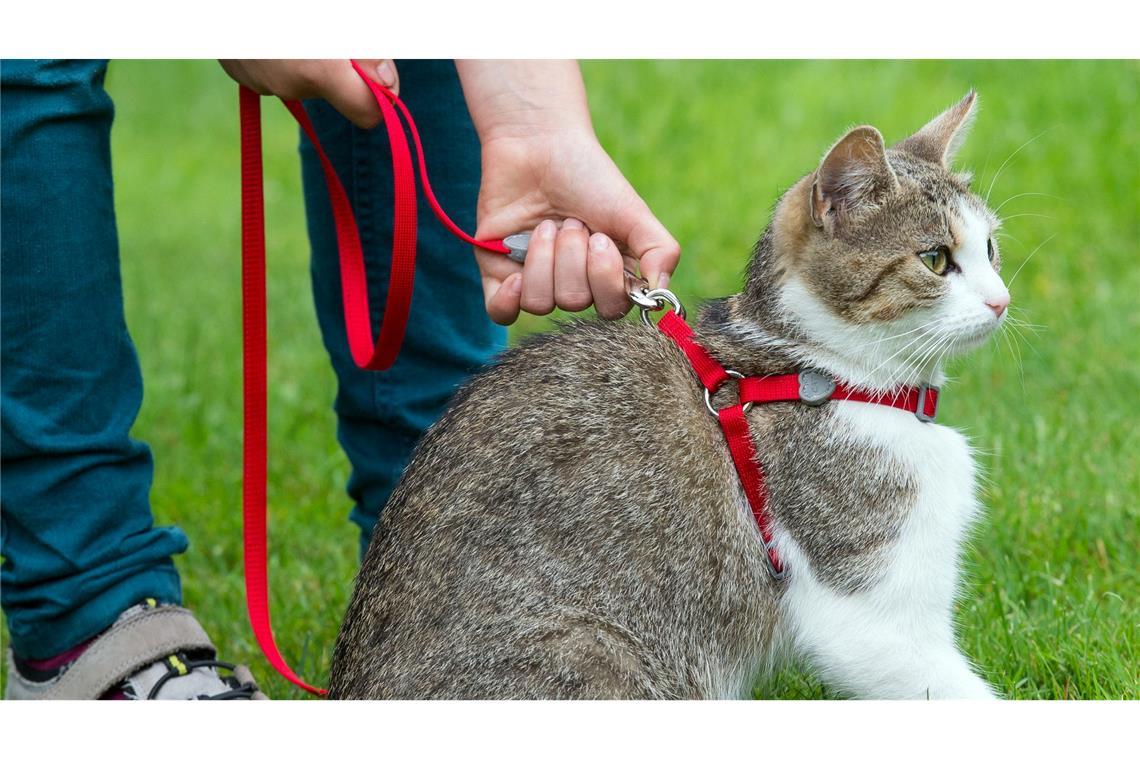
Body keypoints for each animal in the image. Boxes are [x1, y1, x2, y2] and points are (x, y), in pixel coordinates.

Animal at [328, 90, 1007, 701]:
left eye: (990, 249)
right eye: (935, 258)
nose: (1002, 300)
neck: (823, 373)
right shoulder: (869, 612)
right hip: (598, 656)